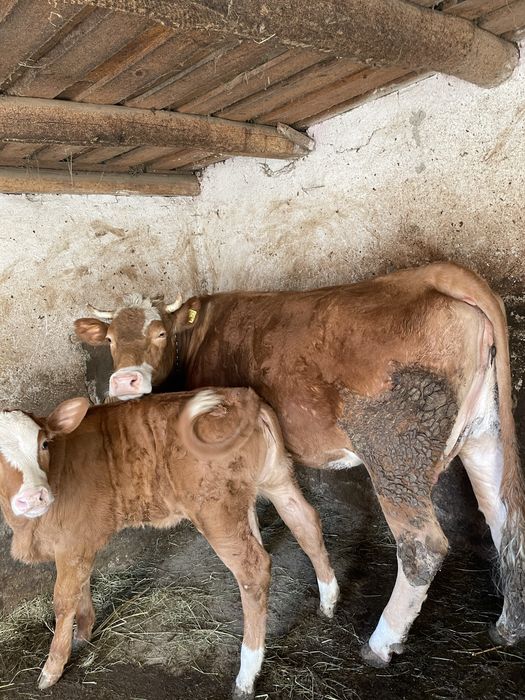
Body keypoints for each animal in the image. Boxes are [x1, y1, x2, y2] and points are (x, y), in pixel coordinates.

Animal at [0, 389, 339, 697]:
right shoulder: (79, 543)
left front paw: (52, 669)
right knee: (306, 523)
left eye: (44, 443)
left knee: (254, 570)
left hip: (217, 512)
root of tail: (240, 395)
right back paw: (328, 601)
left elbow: (63, 599)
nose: (35, 497)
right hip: (276, 480)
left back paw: (246, 675)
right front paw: (84, 633)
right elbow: (82, 586)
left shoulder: (72, 542)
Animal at [75, 262, 525, 665]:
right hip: (483, 434)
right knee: (505, 519)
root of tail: (433, 275)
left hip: (395, 454)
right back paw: (508, 625)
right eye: (110, 339)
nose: (124, 382)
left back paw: (380, 644)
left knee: (422, 547)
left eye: (160, 332)